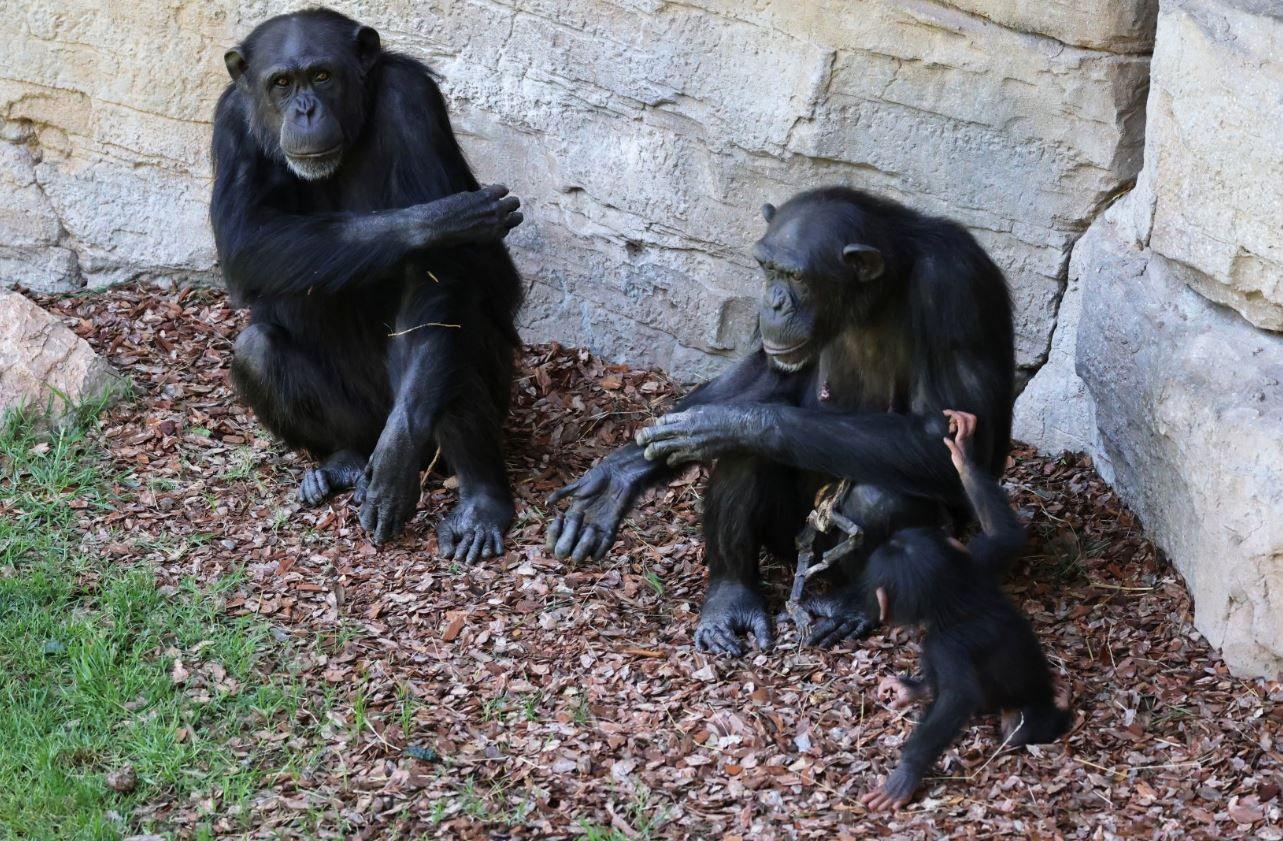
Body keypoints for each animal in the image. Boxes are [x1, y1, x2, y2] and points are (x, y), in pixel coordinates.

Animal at [212, 9, 523, 559]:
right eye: (281, 83)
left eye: (321, 76)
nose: (306, 110)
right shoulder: (230, 123)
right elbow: (244, 235)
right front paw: (440, 220)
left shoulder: (411, 100)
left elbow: (435, 279)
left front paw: (398, 457)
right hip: (359, 420)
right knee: (256, 348)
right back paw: (340, 462)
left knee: (448, 339)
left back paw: (480, 503)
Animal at [543, 186, 1011, 657]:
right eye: (767, 268)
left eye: (797, 276)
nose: (773, 301)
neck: (878, 292)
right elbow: (769, 371)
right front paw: (623, 471)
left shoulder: (956, 289)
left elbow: (951, 439)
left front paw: (729, 424)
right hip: (787, 538)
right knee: (744, 461)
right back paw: (731, 599)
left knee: (878, 498)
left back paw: (852, 604)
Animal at [862, 410, 1072, 811]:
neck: (954, 596)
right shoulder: (978, 561)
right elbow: (1004, 535)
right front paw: (962, 454)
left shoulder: (946, 644)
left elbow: (957, 696)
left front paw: (905, 774)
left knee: (1014, 728)